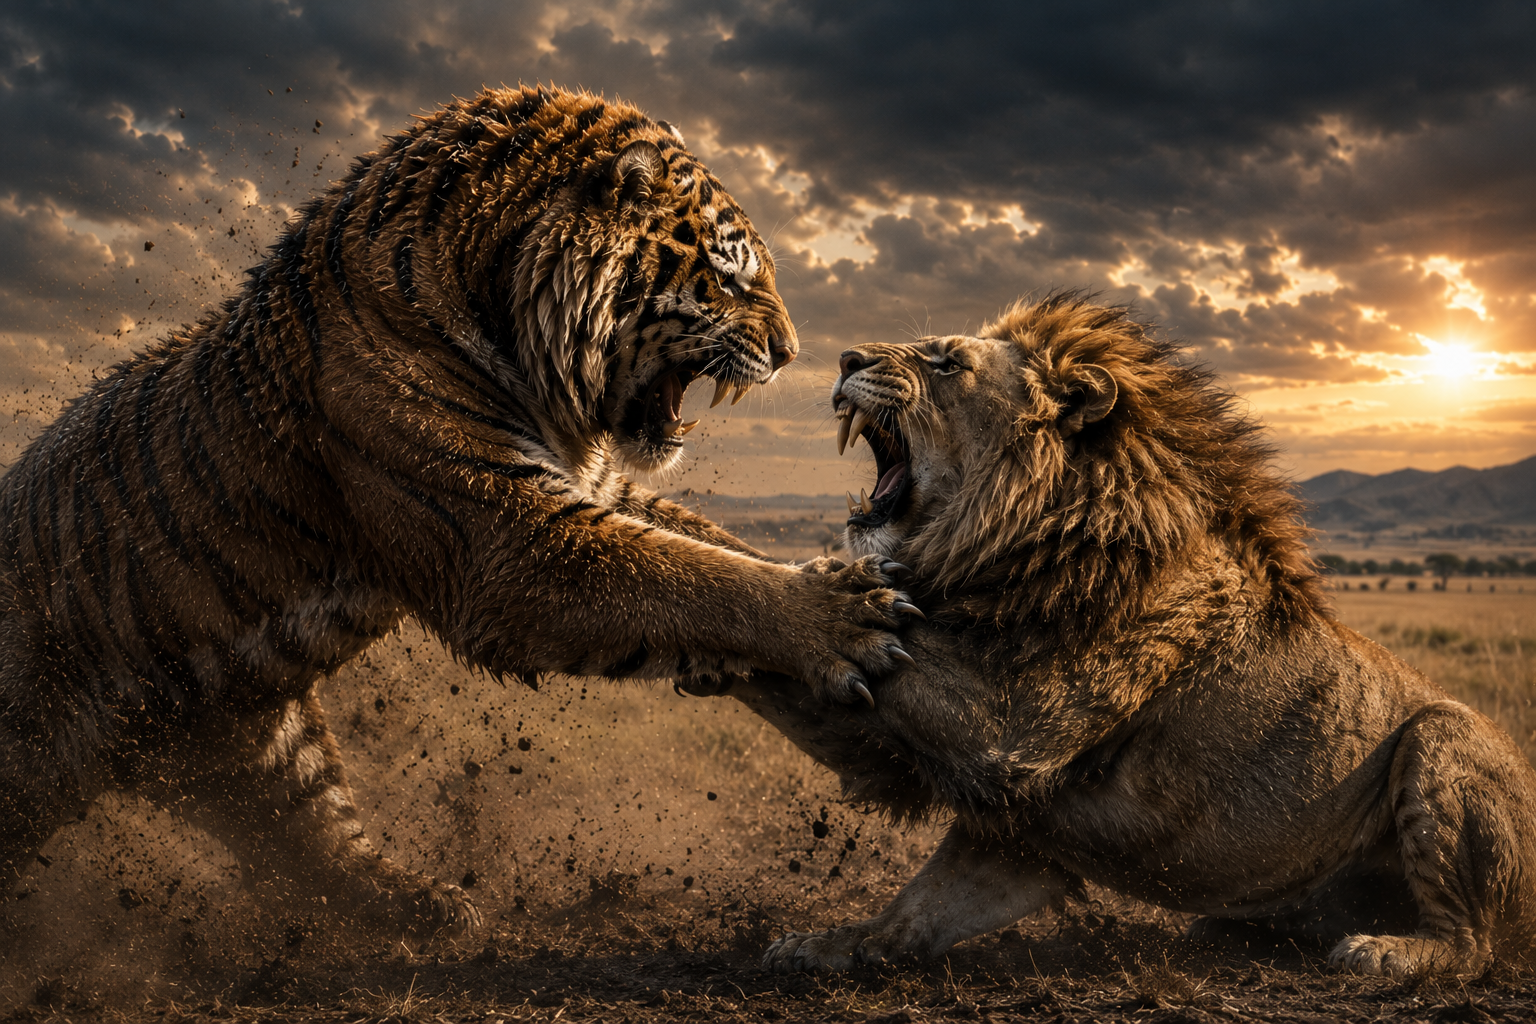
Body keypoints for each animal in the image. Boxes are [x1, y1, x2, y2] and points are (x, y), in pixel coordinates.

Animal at [0, 85, 915, 940]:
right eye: (733, 277)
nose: (795, 354)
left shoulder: (589, 488)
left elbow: (708, 546)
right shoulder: (508, 539)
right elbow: (687, 576)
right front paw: (838, 620)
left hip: (256, 744)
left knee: (313, 842)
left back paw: (425, 909)